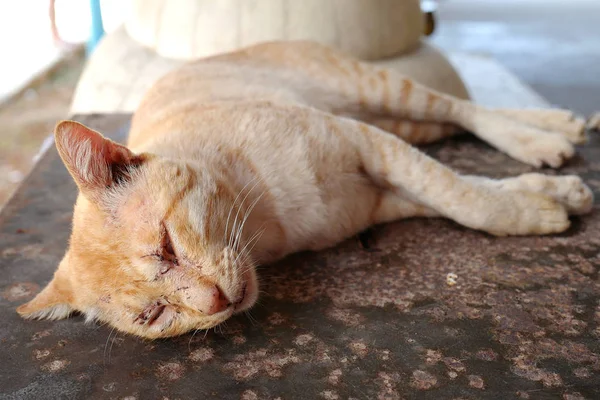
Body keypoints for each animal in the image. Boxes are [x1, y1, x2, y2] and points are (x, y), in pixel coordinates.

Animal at [17, 42, 596, 340]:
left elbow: (464, 198)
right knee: (452, 123)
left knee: (463, 108)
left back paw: (544, 132)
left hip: (379, 92)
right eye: (153, 316)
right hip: (398, 122)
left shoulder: (367, 144)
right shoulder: (379, 193)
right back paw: (553, 139)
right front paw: (551, 194)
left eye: (166, 246)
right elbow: (464, 189)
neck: (270, 227)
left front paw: (534, 210)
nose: (214, 303)